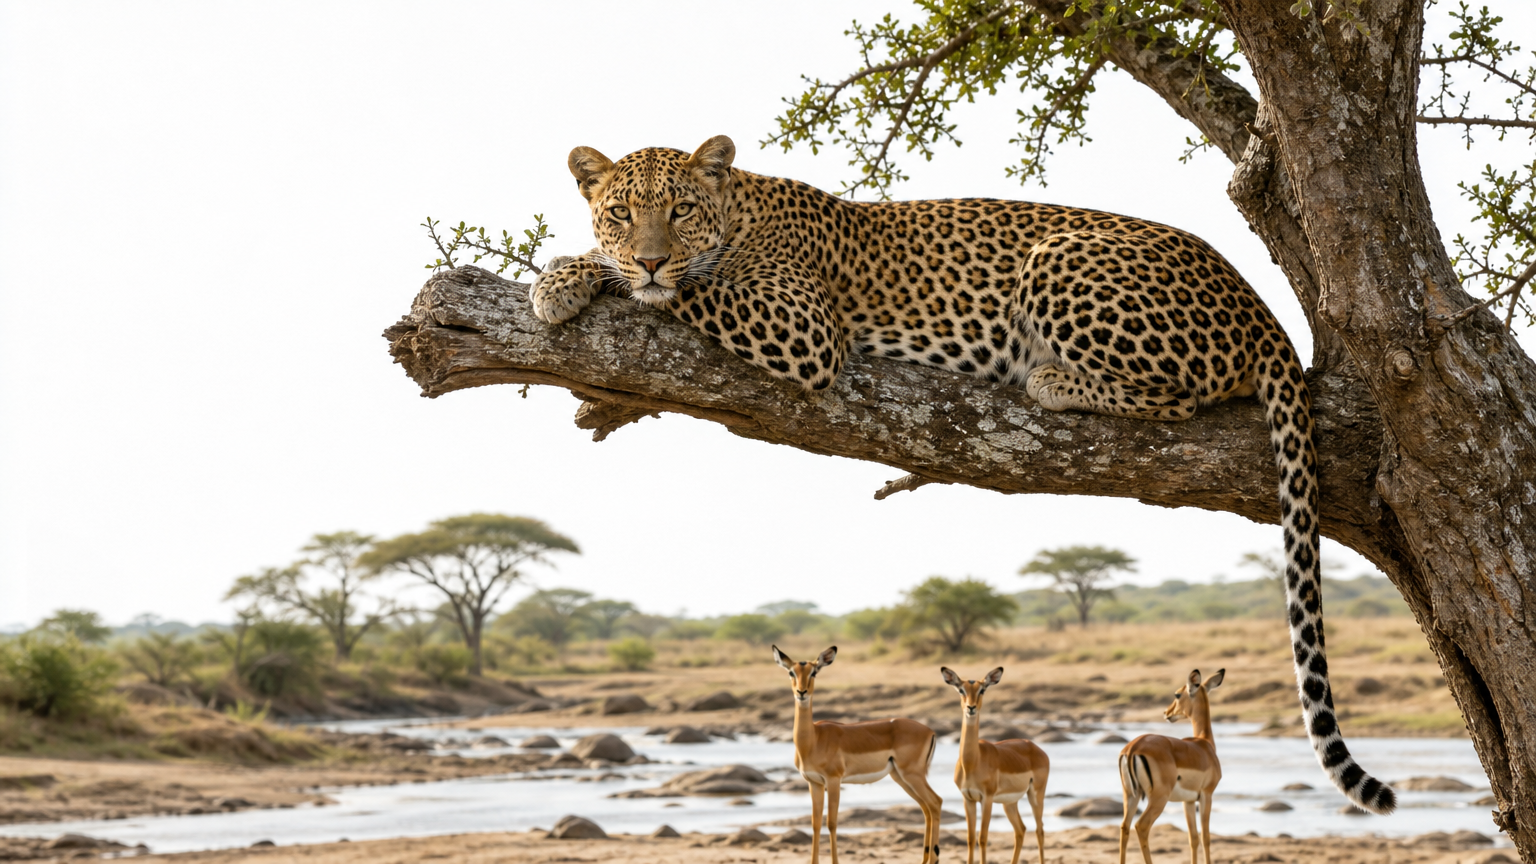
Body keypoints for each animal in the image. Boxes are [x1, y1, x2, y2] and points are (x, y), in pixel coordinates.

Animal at [529, 135, 1395, 814]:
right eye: (621, 210)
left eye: (678, 210)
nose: (648, 253)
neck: (739, 211)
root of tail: (1260, 306)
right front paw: (569, 275)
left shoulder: (801, 327)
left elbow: (687, 290)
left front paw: (574, 278)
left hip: (1060, 258)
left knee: (1178, 396)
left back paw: (1049, 379)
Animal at [773, 645, 945, 864]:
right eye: (791, 672)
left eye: (814, 672)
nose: (801, 692)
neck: (813, 739)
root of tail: (930, 731)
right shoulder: (814, 783)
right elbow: (815, 823)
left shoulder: (833, 780)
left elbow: (832, 822)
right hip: (900, 777)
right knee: (926, 809)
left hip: (912, 775)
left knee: (935, 802)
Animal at [941, 667, 1050, 864]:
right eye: (961, 690)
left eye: (982, 690)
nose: (971, 708)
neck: (972, 762)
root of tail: (1035, 747)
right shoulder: (968, 799)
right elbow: (970, 838)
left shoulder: (987, 799)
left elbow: (983, 838)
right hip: (1010, 803)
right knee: (1020, 830)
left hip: (1036, 795)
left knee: (1040, 830)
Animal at [1118, 669, 1225, 864]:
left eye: (1177, 694)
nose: (1166, 712)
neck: (1204, 745)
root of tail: (1133, 747)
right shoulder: (1206, 795)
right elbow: (1206, 837)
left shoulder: (1188, 801)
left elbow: (1193, 838)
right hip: (1159, 798)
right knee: (1141, 826)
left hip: (1130, 795)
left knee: (1125, 827)